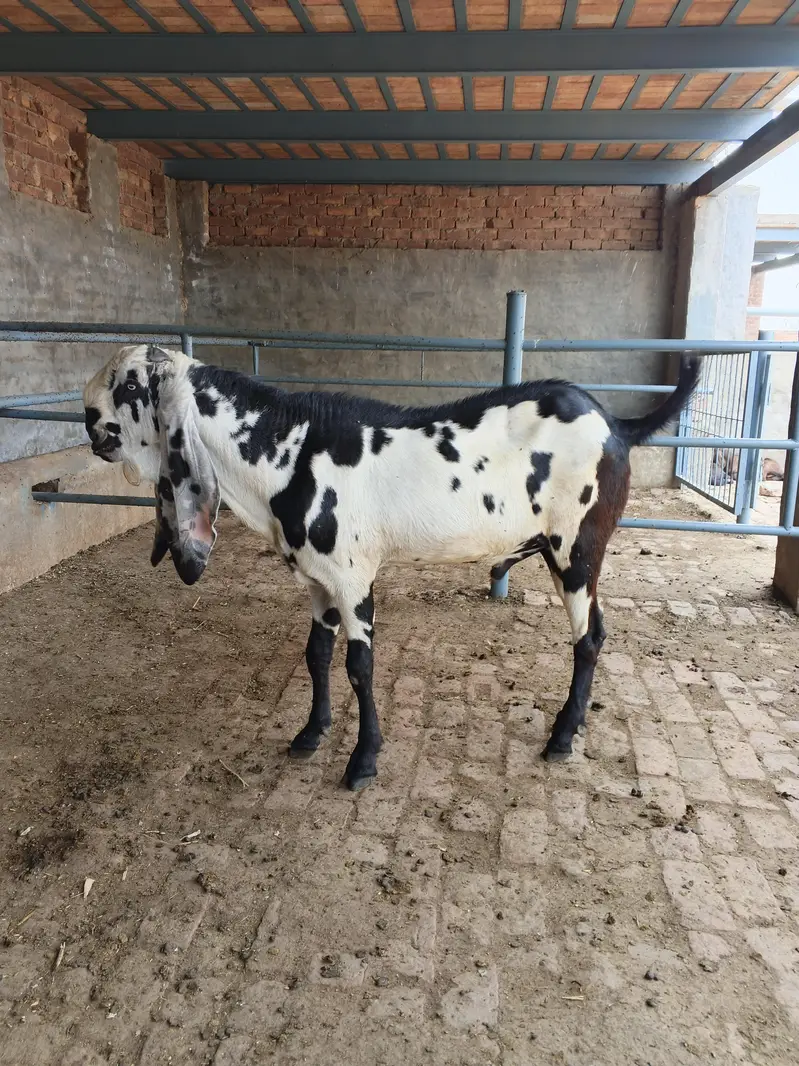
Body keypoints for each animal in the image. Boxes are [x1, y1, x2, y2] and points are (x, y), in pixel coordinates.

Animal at [84, 345, 700, 790]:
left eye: (131, 385)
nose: (90, 421)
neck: (290, 453)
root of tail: (615, 423)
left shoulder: (354, 577)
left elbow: (360, 666)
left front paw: (363, 760)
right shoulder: (318, 579)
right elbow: (316, 654)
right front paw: (311, 732)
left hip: (576, 547)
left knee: (589, 637)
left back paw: (562, 737)